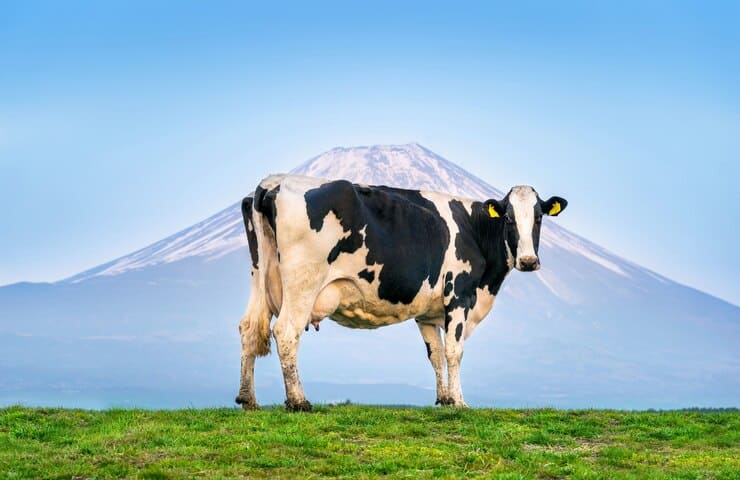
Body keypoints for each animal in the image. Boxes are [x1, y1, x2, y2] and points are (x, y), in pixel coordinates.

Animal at [235, 174, 567, 411]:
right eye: (509, 218)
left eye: (539, 218)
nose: (528, 261)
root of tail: (272, 183)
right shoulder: (458, 295)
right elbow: (454, 351)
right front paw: (460, 402)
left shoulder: (428, 313)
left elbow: (435, 354)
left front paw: (445, 400)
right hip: (303, 281)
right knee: (286, 331)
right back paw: (298, 401)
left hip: (258, 274)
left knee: (249, 327)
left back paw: (248, 399)